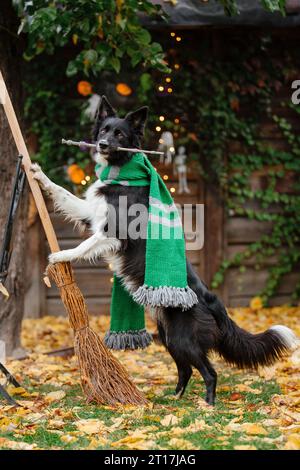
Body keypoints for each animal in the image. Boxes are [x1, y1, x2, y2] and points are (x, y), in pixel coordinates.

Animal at [30, 94, 298, 404]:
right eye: (104, 130)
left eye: (120, 134)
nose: (103, 145)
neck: (122, 171)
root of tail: (213, 300)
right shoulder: (90, 211)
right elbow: (64, 194)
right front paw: (38, 175)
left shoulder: (115, 231)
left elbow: (85, 244)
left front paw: (61, 255)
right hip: (169, 336)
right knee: (186, 370)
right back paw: (174, 400)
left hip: (184, 339)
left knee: (209, 372)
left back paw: (206, 406)